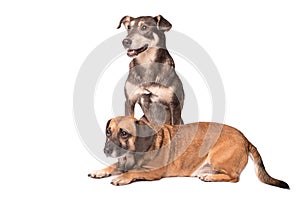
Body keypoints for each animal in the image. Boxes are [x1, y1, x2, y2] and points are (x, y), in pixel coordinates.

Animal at [88, 116, 290, 189]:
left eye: (124, 133)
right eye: (108, 131)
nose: (106, 149)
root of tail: (246, 139)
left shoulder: (153, 172)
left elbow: (132, 172)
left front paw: (122, 177)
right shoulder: (121, 162)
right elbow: (112, 166)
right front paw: (99, 171)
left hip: (217, 157)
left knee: (234, 178)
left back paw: (211, 178)